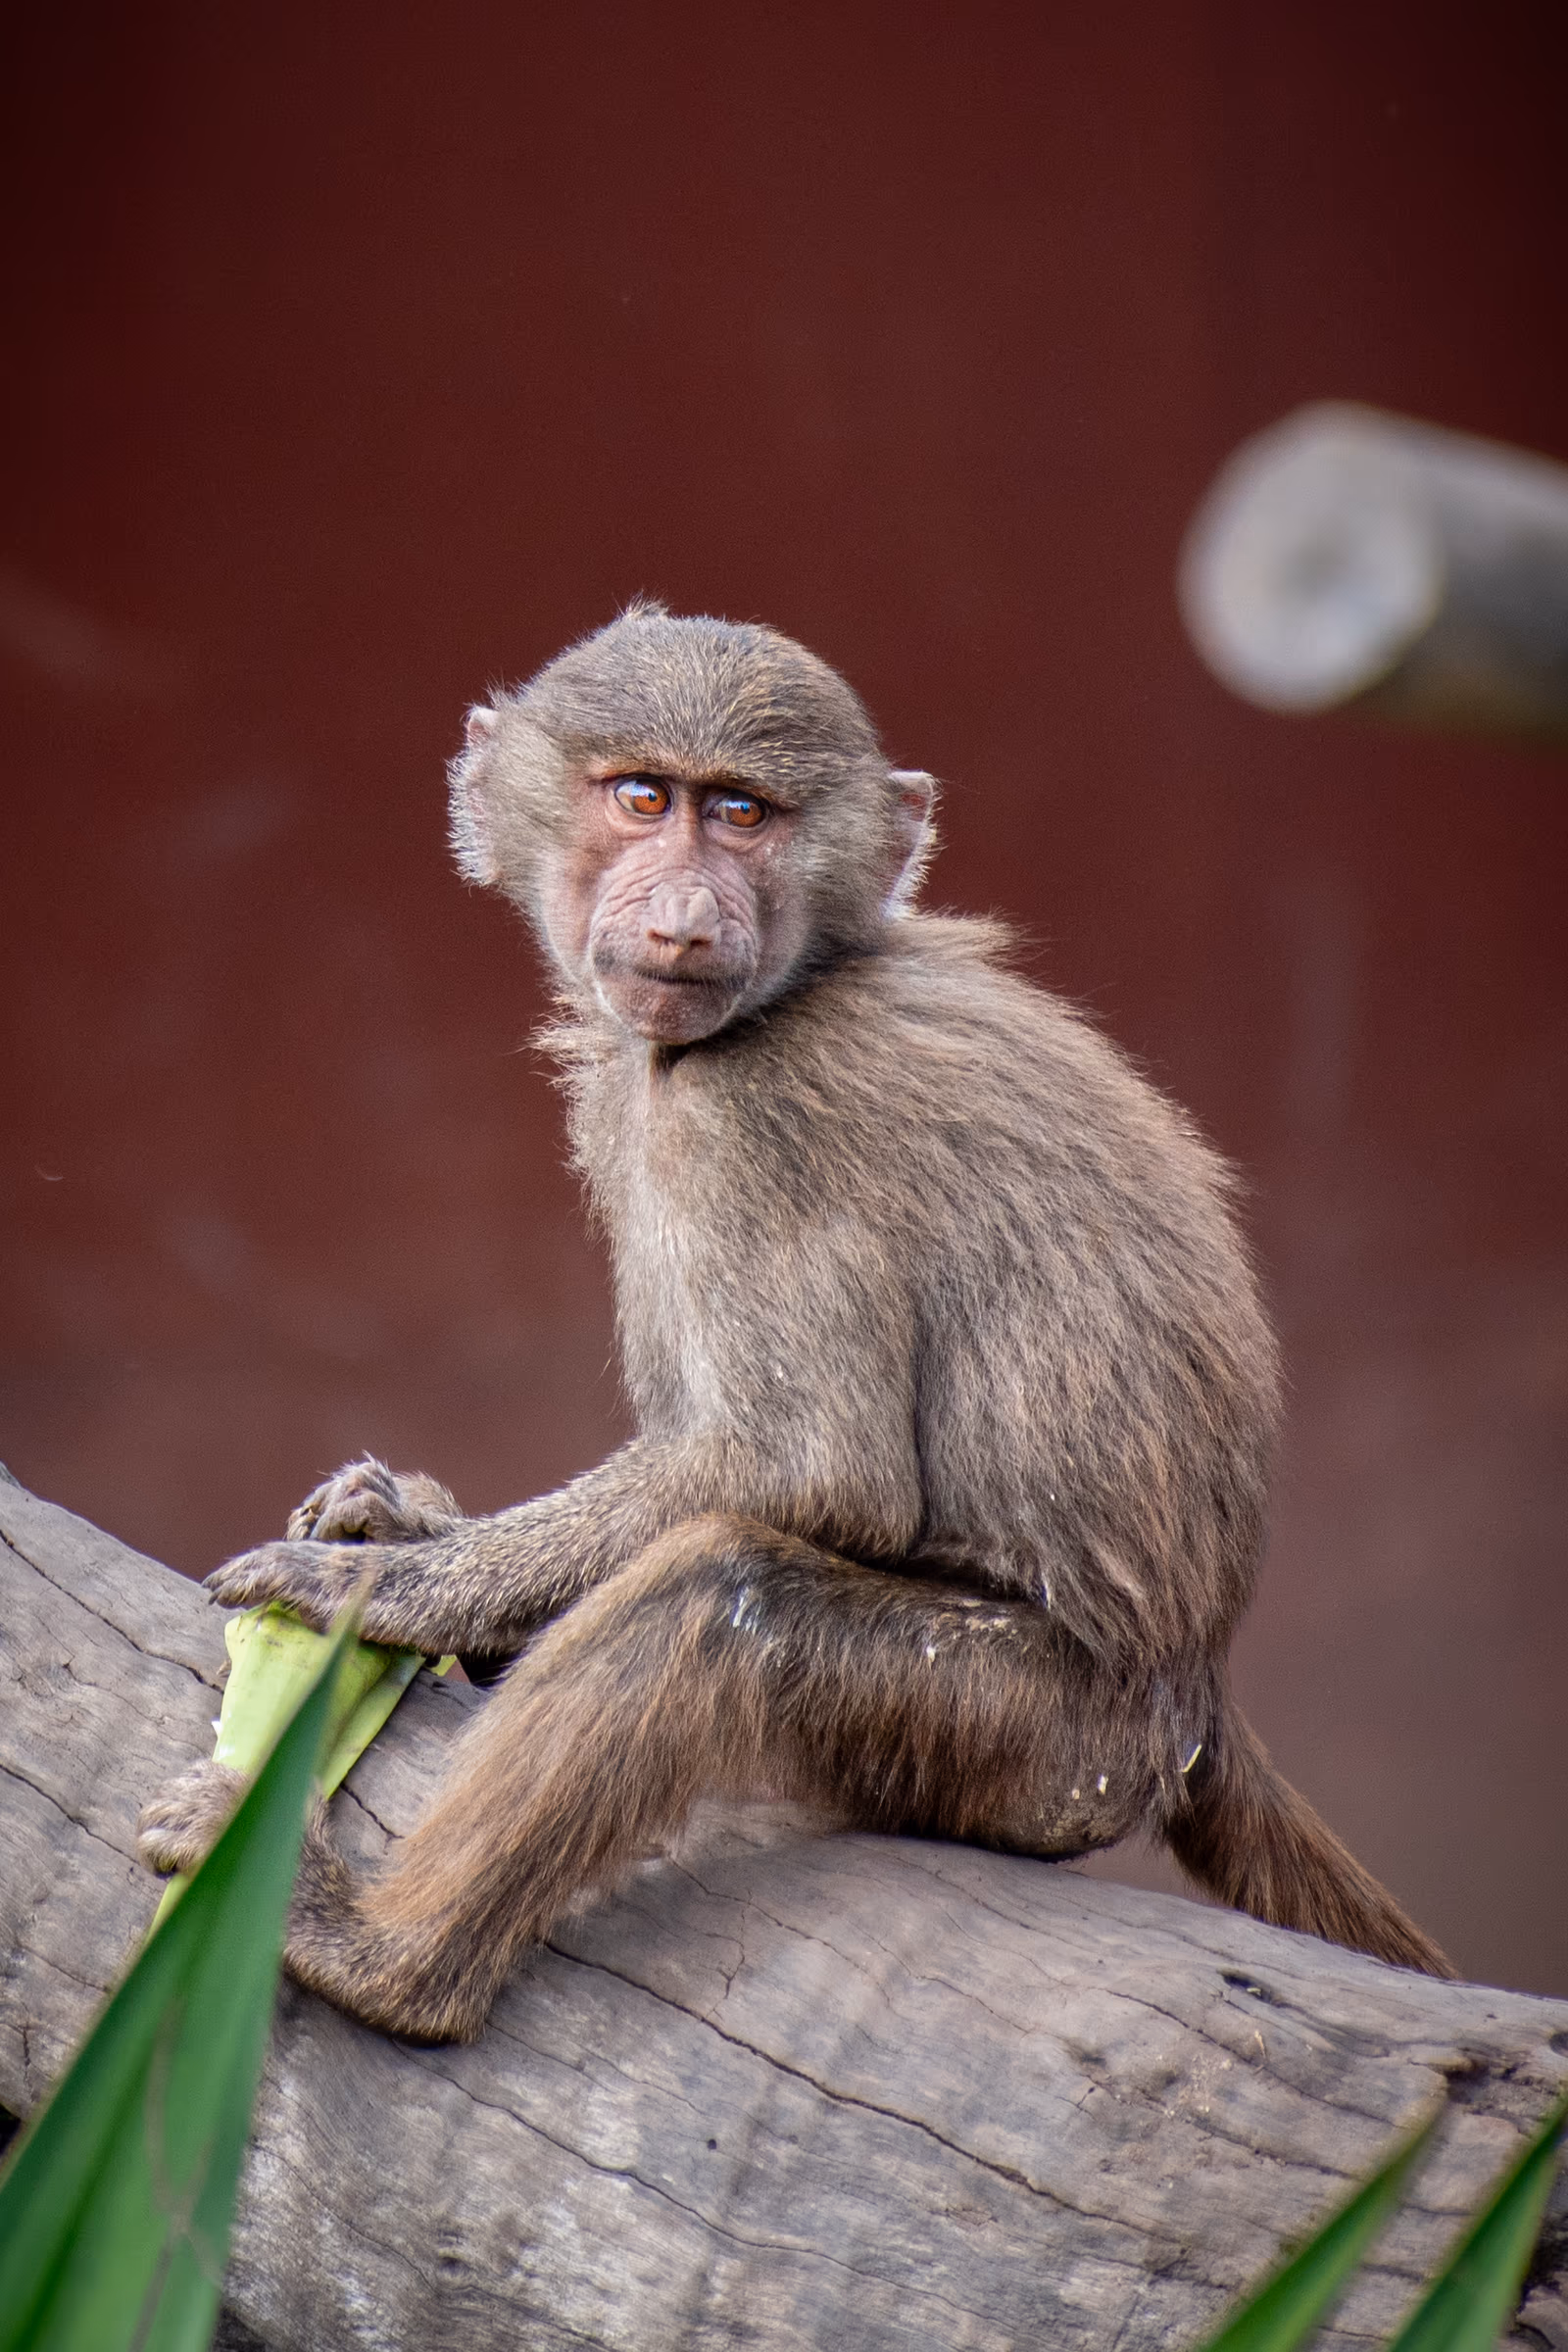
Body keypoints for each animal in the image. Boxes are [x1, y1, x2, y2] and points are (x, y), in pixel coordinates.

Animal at [138, 602, 1452, 2041]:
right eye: (643, 798)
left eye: (745, 815)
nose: (683, 918)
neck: (799, 983)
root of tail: (1195, 1689)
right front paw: (416, 1530)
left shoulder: (749, 1120)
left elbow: (806, 1474)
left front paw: (388, 1587)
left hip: (1038, 1744)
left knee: (725, 1593)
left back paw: (381, 1958)